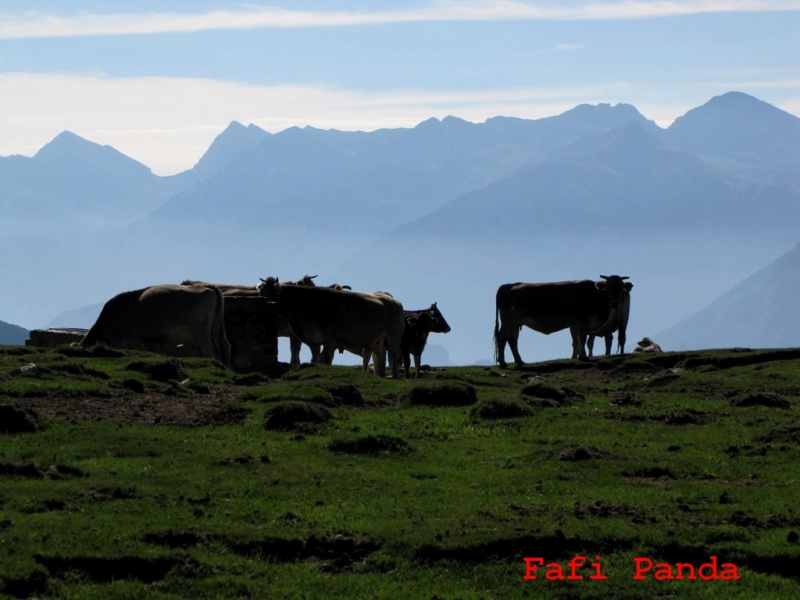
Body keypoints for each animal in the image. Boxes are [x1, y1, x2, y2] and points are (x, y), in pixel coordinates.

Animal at [81, 282, 230, 366]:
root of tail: (207, 286)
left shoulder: (120, 341)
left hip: (201, 332)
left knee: (208, 349)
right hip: (216, 330)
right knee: (224, 347)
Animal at [258, 276, 404, 378]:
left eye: (269, 292)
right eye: (261, 291)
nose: (260, 300)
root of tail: (393, 300)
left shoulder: (330, 338)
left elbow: (326, 358)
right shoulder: (314, 339)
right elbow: (317, 358)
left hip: (394, 334)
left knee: (394, 354)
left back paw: (395, 376)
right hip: (377, 340)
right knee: (380, 355)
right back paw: (380, 375)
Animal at [490, 276, 636, 366]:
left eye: (621, 288)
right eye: (608, 287)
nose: (615, 303)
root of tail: (509, 286)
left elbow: (580, 340)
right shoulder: (581, 322)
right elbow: (582, 338)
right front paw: (583, 357)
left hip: (514, 324)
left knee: (512, 340)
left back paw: (519, 361)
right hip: (508, 322)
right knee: (502, 339)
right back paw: (503, 362)